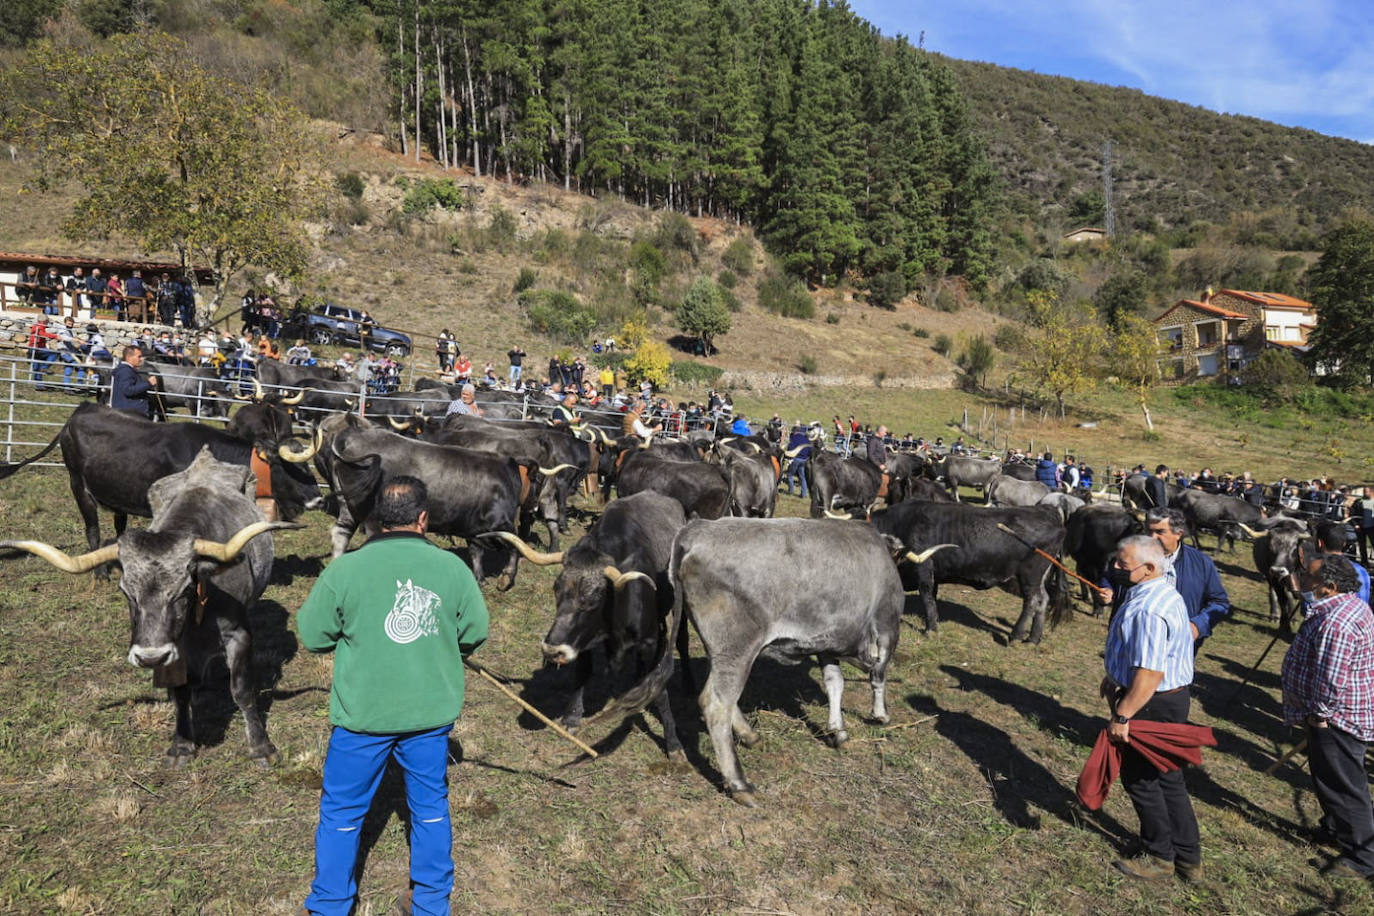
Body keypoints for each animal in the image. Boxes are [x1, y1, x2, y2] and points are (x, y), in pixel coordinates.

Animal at [0, 447, 299, 763]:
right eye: (126, 592)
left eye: (184, 590)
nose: (150, 658)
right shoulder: (177, 648)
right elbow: (181, 690)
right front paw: (182, 743)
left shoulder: (239, 633)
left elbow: (242, 689)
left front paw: (261, 746)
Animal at [868, 502, 1071, 645]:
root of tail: (1049, 512)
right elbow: (933, 596)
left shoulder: (924, 568)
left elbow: (926, 597)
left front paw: (930, 629)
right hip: (1039, 577)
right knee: (1043, 600)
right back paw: (1033, 639)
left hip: (1030, 575)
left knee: (1032, 601)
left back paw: (1016, 635)